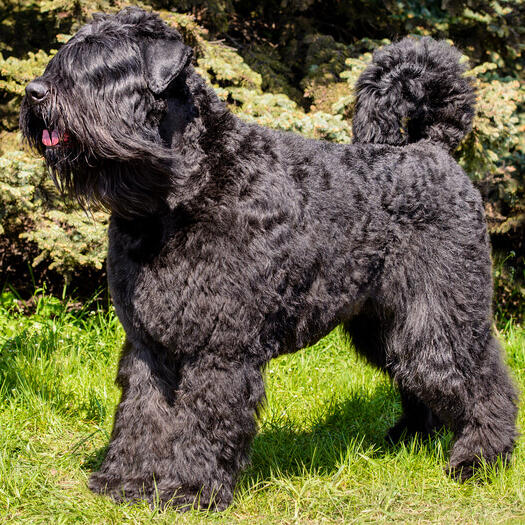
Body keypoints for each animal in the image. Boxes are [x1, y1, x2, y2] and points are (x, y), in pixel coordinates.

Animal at [19, 7, 516, 508]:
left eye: (106, 65)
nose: (34, 91)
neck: (180, 191)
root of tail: (431, 147)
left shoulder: (220, 345)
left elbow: (202, 419)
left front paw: (191, 489)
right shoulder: (148, 343)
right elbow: (143, 416)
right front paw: (128, 483)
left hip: (442, 311)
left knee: (480, 379)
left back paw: (479, 459)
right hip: (386, 323)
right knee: (416, 374)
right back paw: (407, 439)